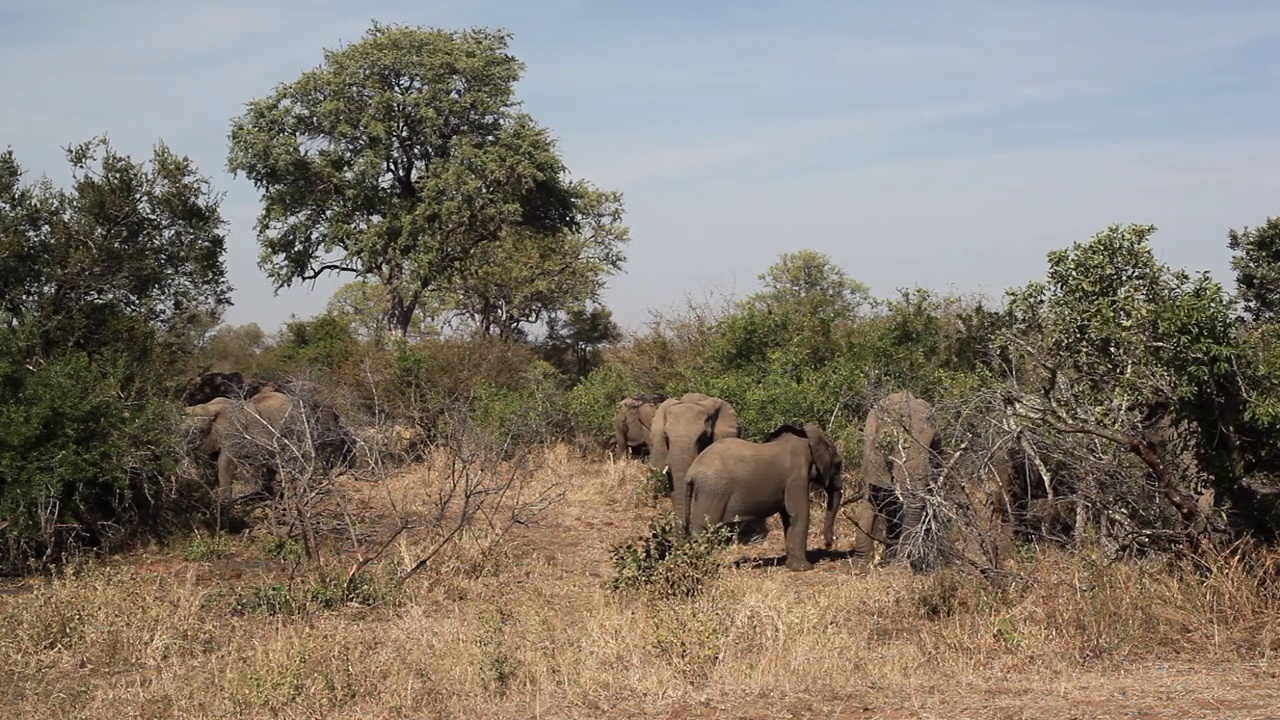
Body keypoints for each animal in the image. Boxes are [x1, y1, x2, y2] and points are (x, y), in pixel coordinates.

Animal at [686, 417, 844, 568]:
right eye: (839, 464)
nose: (829, 544)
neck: (807, 440)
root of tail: (691, 472)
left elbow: (788, 517)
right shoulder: (797, 476)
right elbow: (800, 514)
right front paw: (804, 568)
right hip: (711, 492)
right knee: (704, 528)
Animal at [855, 389, 947, 568]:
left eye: (932, 444)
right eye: (888, 443)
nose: (902, 562)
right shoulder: (872, 456)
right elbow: (872, 498)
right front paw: (859, 568)